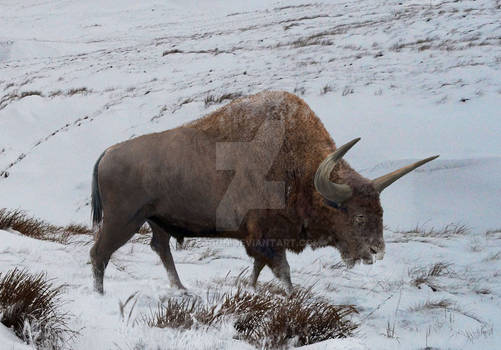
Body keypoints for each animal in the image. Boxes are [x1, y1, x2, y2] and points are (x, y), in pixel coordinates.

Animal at [90, 90, 438, 292]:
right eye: (358, 217)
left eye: (381, 212)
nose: (377, 251)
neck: (302, 172)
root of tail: (107, 153)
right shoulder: (265, 237)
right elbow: (282, 270)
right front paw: (291, 297)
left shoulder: (266, 236)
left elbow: (260, 267)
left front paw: (252, 288)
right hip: (123, 220)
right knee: (100, 253)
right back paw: (101, 294)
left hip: (155, 220)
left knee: (160, 249)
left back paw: (181, 289)